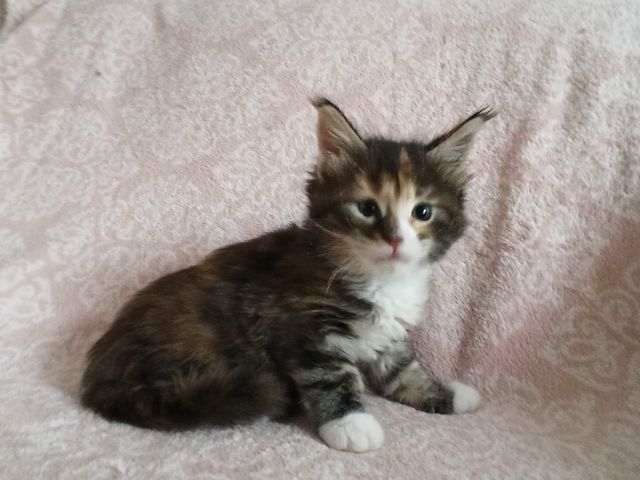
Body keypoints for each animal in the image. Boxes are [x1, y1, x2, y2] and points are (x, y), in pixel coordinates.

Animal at [81, 99, 494, 453]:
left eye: (422, 212)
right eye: (367, 208)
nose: (395, 239)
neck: (380, 280)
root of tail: (99, 375)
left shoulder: (389, 337)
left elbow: (403, 371)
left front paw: (447, 393)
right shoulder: (298, 327)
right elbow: (329, 375)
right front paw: (351, 423)